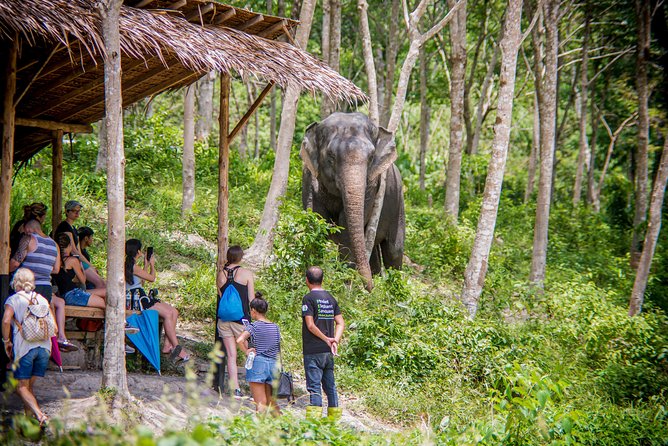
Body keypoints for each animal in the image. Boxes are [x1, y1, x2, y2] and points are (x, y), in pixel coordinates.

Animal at [300, 112, 405, 290]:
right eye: (331, 156)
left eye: (371, 157)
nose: (369, 288)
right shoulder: (309, 176)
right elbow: (315, 220)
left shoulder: (372, 186)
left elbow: (346, 226)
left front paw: (343, 287)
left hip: (398, 203)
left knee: (394, 250)